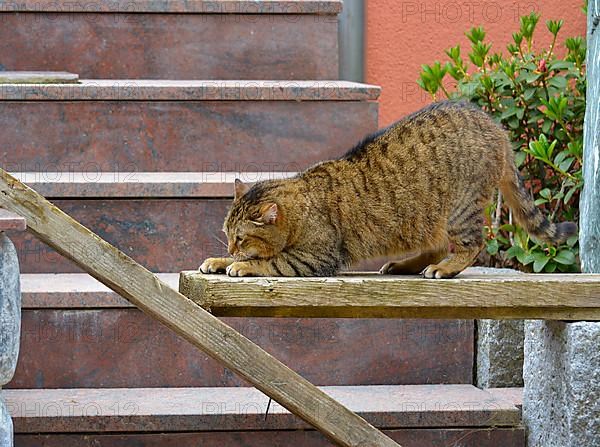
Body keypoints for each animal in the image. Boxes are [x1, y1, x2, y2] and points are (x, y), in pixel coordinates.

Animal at [200, 100, 576, 280]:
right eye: (227, 235)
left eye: (241, 237)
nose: (230, 248)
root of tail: (496, 129)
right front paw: (220, 260)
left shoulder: (314, 258)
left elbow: (271, 262)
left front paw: (242, 264)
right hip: (427, 218)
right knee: (437, 245)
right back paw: (404, 265)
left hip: (460, 209)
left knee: (471, 245)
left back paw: (445, 268)